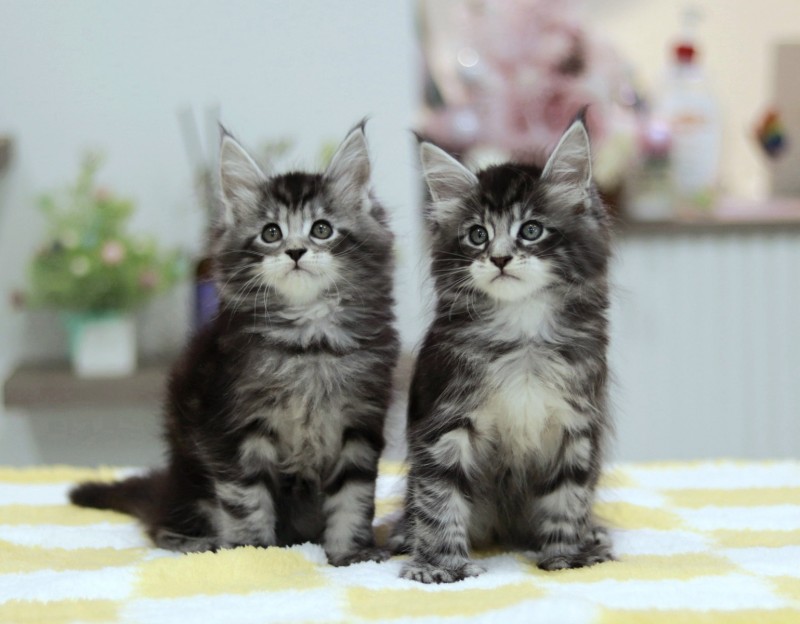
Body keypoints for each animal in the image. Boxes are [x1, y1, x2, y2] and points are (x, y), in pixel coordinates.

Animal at [70, 121, 399, 566]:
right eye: (271, 233)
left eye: (322, 229)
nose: (295, 252)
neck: (308, 343)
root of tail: (166, 486)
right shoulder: (229, 426)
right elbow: (246, 500)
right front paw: (253, 556)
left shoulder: (361, 423)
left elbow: (353, 497)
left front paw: (352, 554)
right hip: (189, 482)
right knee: (160, 526)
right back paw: (197, 542)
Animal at [394, 112, 614, 583]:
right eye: (477, 235)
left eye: (530, 230)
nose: (498, 258)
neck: (523, 332)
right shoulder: (445, 420)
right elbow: (440, 497)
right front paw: (440, 566)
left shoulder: (577, 424)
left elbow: (569, 495)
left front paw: (568, 556)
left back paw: (594, 536)